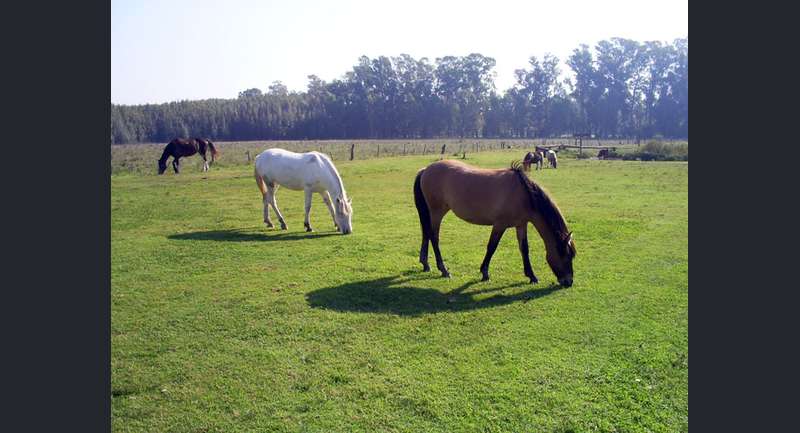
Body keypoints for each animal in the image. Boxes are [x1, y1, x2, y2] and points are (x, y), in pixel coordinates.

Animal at [412, 159, 576, 286]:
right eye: (567, 256)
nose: (569, 282)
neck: (523, 194)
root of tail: (426, 170)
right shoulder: (499, 225)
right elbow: (492, 247)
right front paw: (484, 273)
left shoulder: (521, 225)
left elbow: (524, 249)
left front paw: (532, 276)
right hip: (437, 212)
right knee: (434, 237)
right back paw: (443, 269)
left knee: (426, 233)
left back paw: (426, 264)